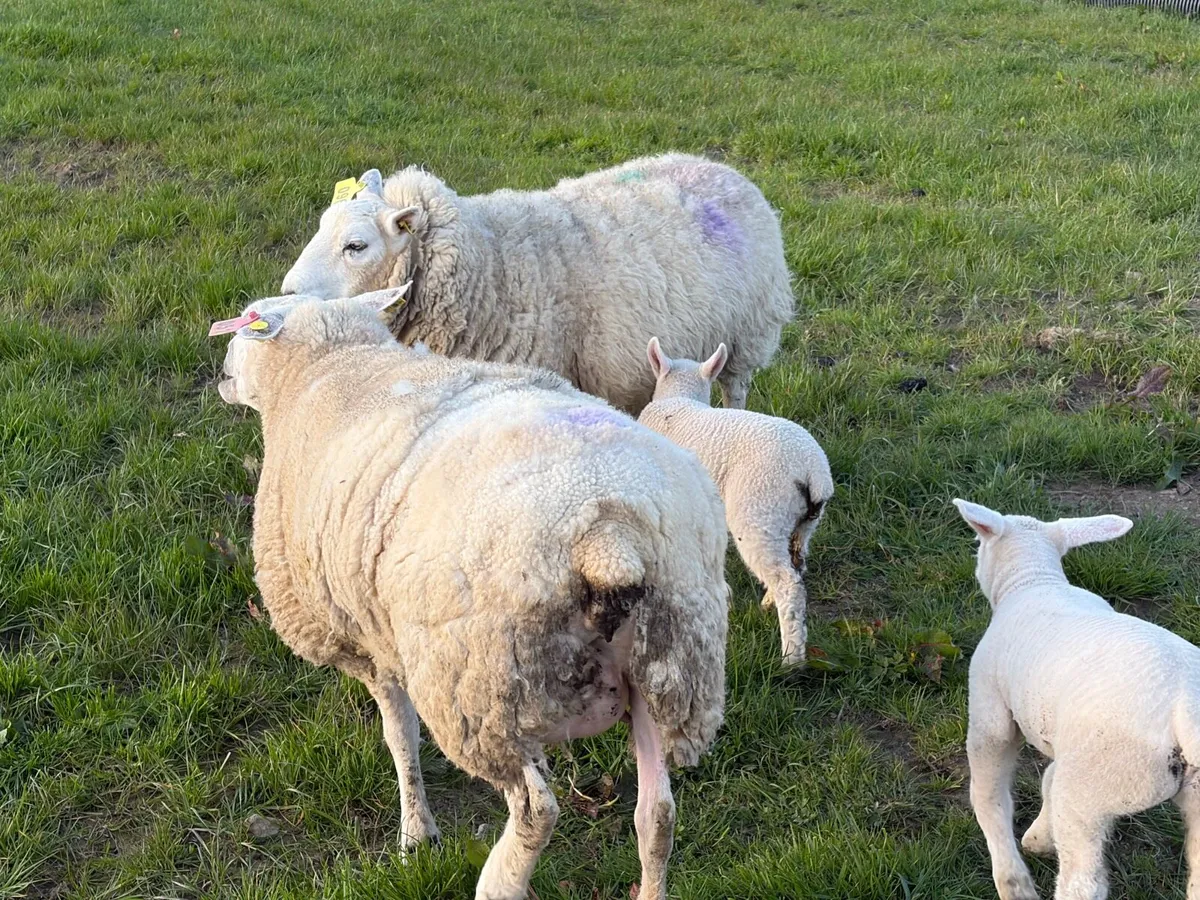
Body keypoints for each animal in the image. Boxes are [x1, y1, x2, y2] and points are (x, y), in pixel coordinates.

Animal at [210, 288, 730, 900]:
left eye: (248, 320)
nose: (220, 375)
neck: (332, 365)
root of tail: (609, 533)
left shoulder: (370, 642)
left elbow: (400, 735)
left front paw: (415, 835)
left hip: (482, 689)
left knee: (536, 810)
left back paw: (498, 880)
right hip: (671, 665)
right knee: (658, 816)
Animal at [278, 153, 794, 414]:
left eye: (356, 246)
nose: (287, 293)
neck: (493, 266)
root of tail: (725, 169)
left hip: (746, 338)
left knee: (735, 388)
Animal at [637, 337, 833, 666]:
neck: (679, 399)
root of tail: (813, 472)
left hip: (759, 510)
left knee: (788, 584)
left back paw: (791, 659)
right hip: (803, 524)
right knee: (795, 565)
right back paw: (769, 602)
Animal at [953, 498, 1200, 900]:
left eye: (979, 544)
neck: (1034, 580)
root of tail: (1187, 714)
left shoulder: (989, 708)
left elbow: (988, 797)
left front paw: (1014, 878)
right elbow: (1048, 777)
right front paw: (1039, 837)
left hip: (1096, 783)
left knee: (1083, 881)